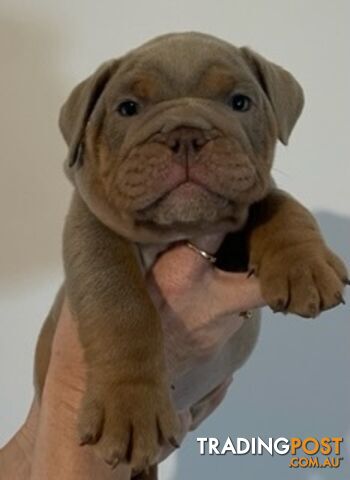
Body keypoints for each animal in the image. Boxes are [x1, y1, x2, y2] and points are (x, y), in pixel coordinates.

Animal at [33, 31, 348, 478]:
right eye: (127, 108)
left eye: (240, 102)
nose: (184, 135)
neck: (180, 227)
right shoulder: (91, 225)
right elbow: (120, 302)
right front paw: (130, 405)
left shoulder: (247, 199)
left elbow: (280, 204)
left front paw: (304, 264)